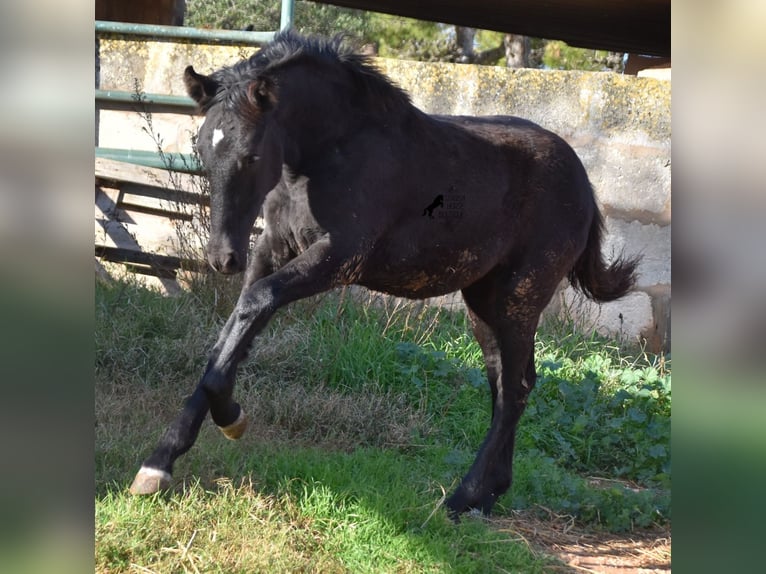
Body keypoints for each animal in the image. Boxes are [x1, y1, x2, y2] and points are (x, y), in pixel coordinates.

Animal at [129, 32, 639, 518]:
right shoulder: (271, 251)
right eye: (201, 148)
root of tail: (584, 184)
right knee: (503, 384)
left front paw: (231, 418)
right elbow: (231, 335)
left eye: (251, 155)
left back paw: (462, 499)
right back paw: (487, 496)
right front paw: (158, 463)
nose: (222, 257)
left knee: (515, 388)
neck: (332, 152)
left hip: (519, 296)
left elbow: (252, 308)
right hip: (484, 300)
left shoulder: (340, 257)